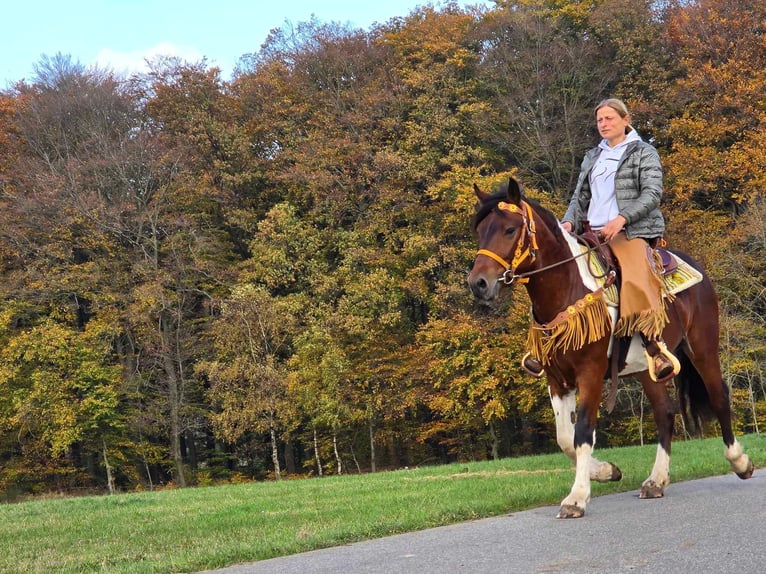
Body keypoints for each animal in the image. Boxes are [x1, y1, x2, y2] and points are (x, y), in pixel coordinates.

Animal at [468, 178, 756, 520]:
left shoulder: (590, 373)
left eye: (510, 229)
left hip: (703, 347)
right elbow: (565, 437)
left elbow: (582, 432)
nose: (478, 283)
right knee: (664, 413)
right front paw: (606, 471)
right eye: (480, 230)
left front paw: (577, 498)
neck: (567, 289)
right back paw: (656, 480)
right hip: (648, 367)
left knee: (718, 395)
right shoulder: (556, 378)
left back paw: (740, 462)